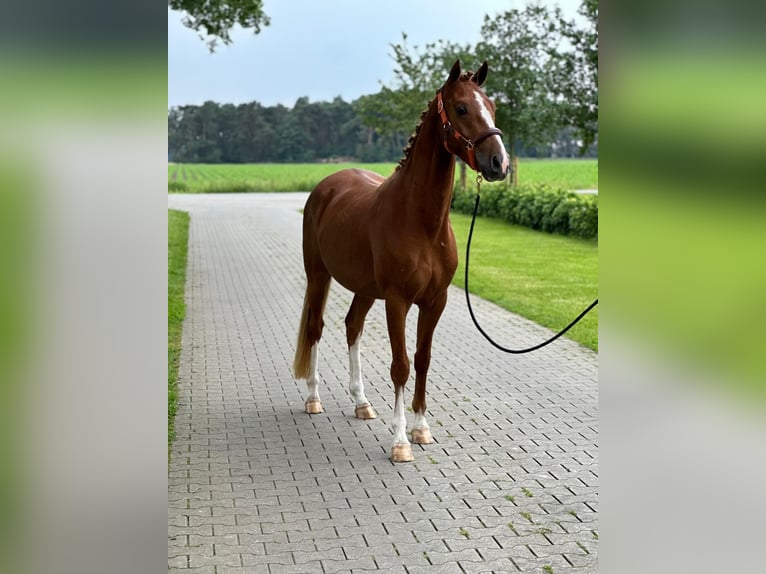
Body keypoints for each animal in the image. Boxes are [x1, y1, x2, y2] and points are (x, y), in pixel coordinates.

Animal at [294, 59, 510, 464]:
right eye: (461, 108)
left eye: (492, 106)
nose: (499, 162)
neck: (421, 222)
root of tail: (327, 185)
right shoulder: (397, 301)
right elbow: (401, 365)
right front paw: (400, 442)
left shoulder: (435, 301)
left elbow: (422, 359)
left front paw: (421, 428)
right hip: (318, 276)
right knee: (315, 328)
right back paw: (313, 398)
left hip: (364, 289)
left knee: (352, 327)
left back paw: (362, 403)